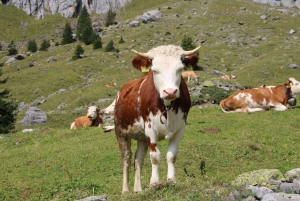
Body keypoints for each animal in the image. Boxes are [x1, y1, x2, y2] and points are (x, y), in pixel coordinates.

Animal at [113, 44, 200, 192]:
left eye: (180, 68)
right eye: (154, 70)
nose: (170, 91)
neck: (167, 107)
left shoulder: (180, 128)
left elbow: (171, 155)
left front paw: (171, 180)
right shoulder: (150, 128)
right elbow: (155, 157)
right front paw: (154, 183)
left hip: (141, 137)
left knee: (138, 158)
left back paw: (138, 189)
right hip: (121, 132)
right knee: (126, 158)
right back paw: (125, 190)